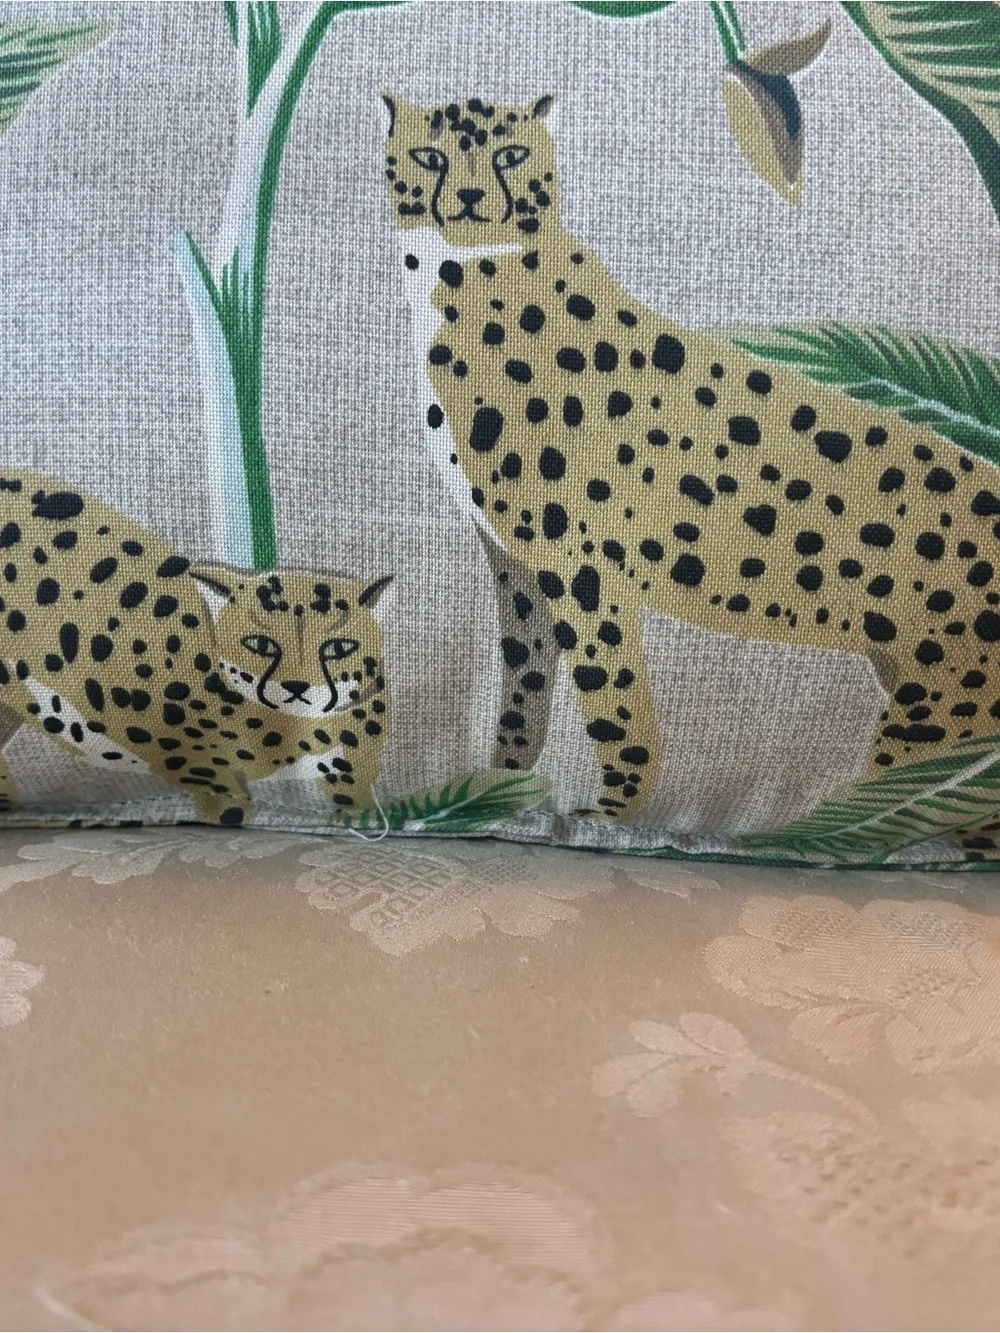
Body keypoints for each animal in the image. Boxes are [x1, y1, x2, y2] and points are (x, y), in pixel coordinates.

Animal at [0, 471, 391, 826]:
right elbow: (225, 803)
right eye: (260, 645)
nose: (297, 688)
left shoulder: (349, 781)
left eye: (338, 647)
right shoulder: (197, 771)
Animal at [381, 91, 1000, 855]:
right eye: (429, 154)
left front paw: (606, 813)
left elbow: (618, 712)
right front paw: (496, 787)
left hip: (935, 719)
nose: (469, 198)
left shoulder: (582, 571)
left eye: (510, 153)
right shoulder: (514, 563)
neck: (460, 276)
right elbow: (524, 692)